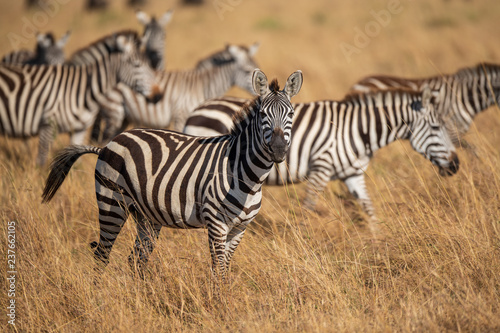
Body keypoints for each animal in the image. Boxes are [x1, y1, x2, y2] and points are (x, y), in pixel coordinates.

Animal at [0, 30, 160, 165]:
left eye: (150, 65)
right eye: (137, 65)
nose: (158, 95)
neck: (83, 90)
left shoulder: (79, 130)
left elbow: (75, 161)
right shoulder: (47, 125)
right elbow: (41, 160)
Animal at [41, 68, 302, 278]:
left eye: (290, 114)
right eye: (263, 115)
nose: (279, 150)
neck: (248, 178)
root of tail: (108, 144)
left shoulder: (240, 228)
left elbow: (225, 269)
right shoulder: (216, 223)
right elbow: (218, 270)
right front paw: (219, 304)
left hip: (146, 216)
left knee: (136, 260)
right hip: (111, 202)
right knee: (102, 256)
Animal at [91, 42, 260, 143]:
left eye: (257, 66)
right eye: (247, 71)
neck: (202, 85)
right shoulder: (181, 114)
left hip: (124, 117)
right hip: (114, 111)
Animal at [185, 87, 460, 232]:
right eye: (436, 127)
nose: (456, 165)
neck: (358, 130)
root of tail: (196, 110)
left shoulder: (352, 174)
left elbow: (368, 208)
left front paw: (379, 239)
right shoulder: (321, 167)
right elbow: (308, 207)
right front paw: (302, 240)